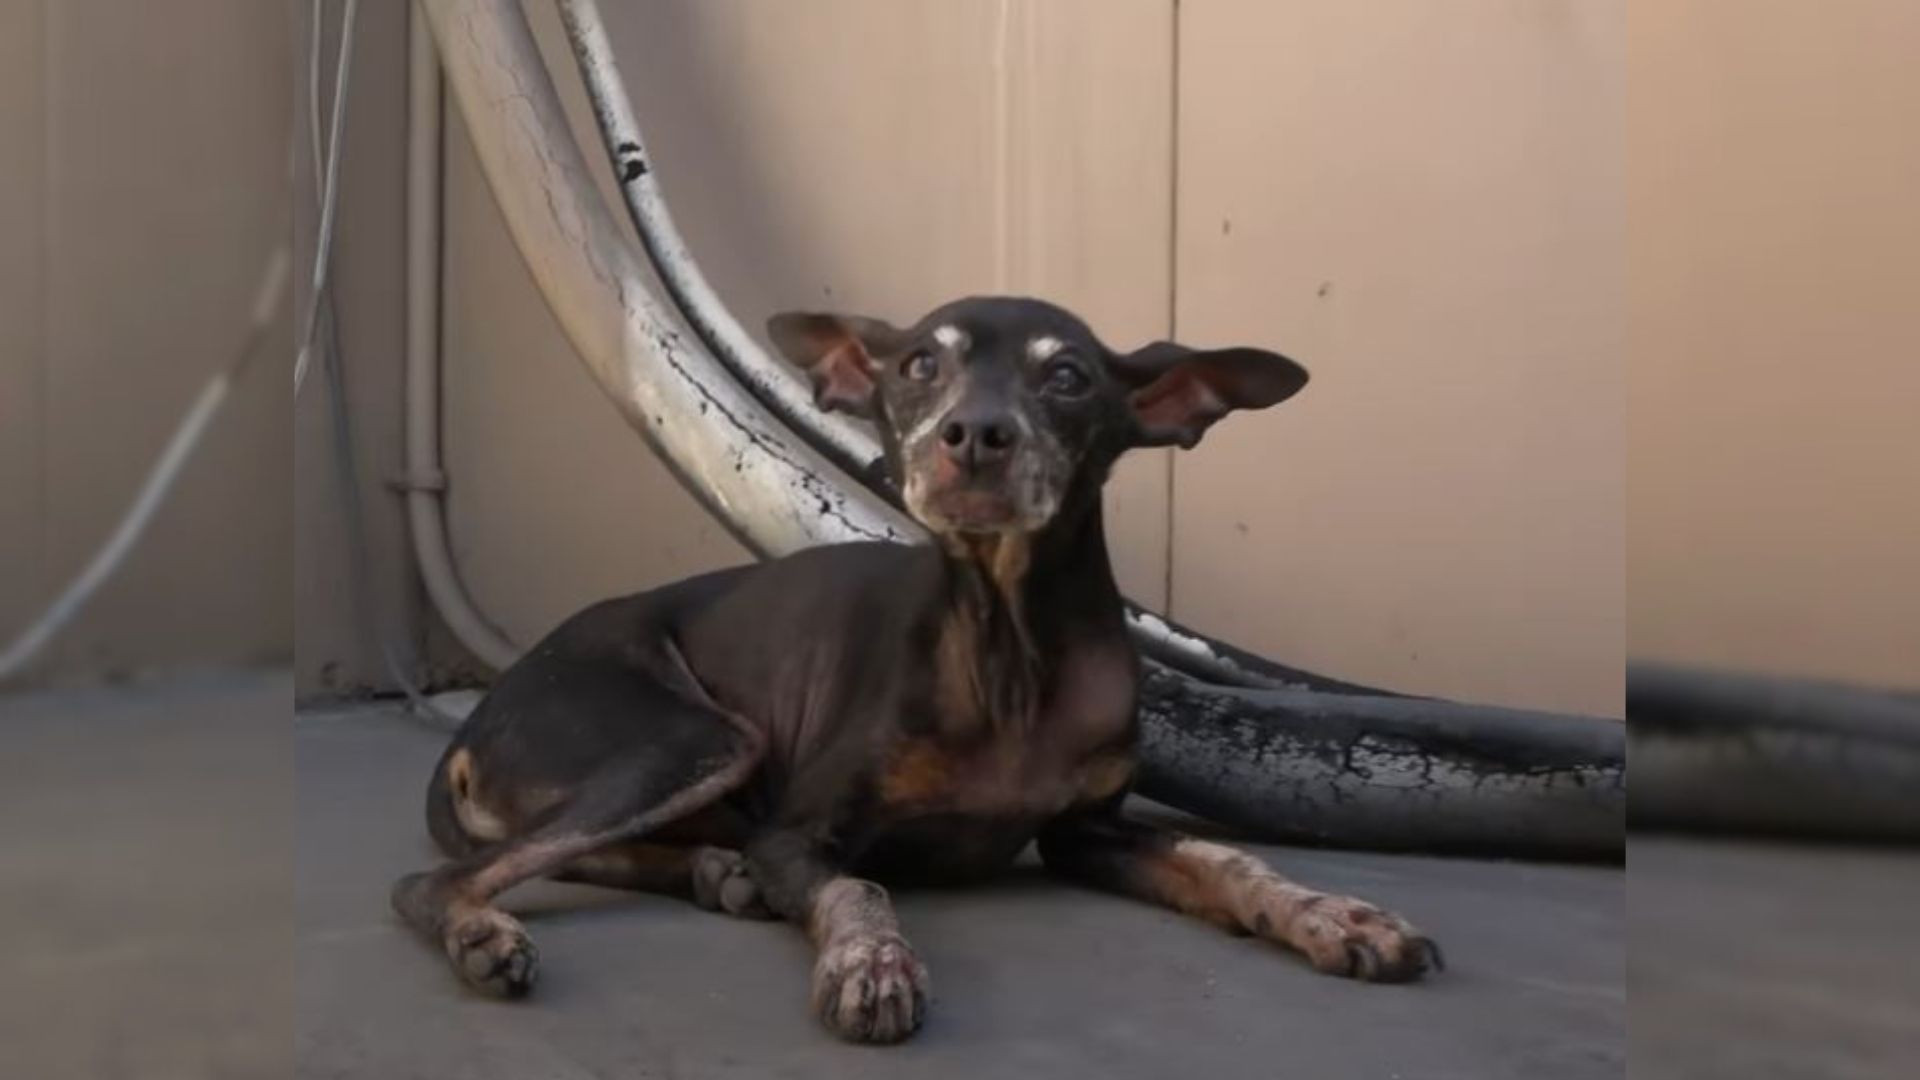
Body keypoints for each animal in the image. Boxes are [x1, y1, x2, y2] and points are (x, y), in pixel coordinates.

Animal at [393, 292, 1443, 1037]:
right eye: (918, 364)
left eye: (1068, 376)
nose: (973, 436)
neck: (1007, 649)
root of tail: (478, 722)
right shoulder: (798, 831)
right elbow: (861, 886)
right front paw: (870, 964)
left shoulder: (1087, 831)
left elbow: (1226, 858)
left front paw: (1333, 916)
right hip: (698, 737)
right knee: (440, 881)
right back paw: (490, 930)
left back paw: (713, 874)